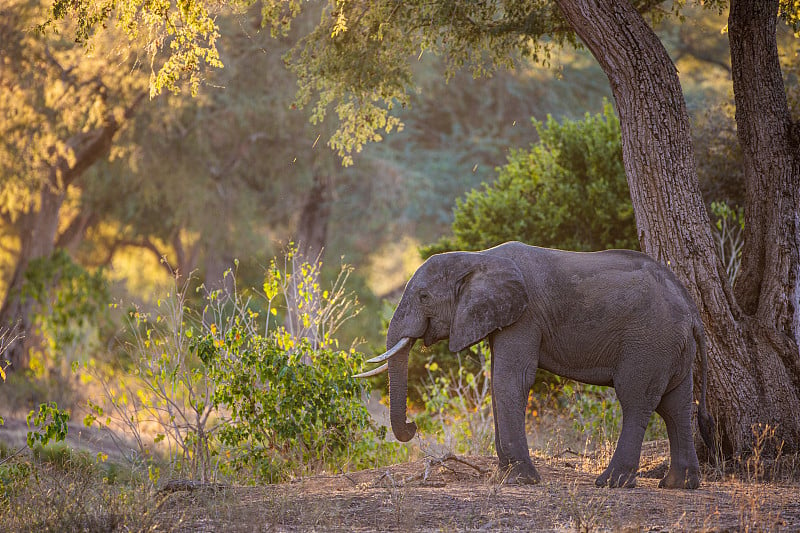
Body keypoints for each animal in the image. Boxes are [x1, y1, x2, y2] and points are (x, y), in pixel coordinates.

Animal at [354, 241, 716, 486]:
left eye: (424, 297)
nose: (413, 426)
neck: (478, 257)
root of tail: (692, 310)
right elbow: (500, 379)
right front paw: (505, 476)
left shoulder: (525, 317)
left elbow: (510, 379)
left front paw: (521, 480)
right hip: (671, 345)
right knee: (676, 404)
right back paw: (679, 485)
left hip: (650, 340)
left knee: (637, 400)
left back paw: (610, 483)